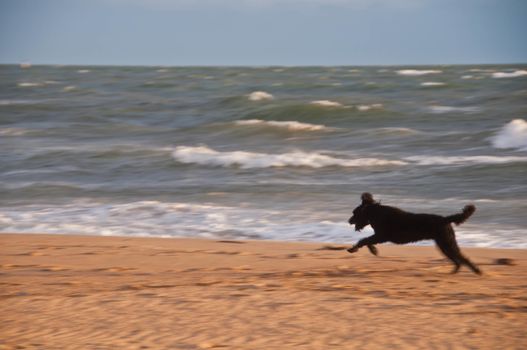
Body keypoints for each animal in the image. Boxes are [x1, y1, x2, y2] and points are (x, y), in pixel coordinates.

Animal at [348, 193, 480, 274]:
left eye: (354, 213)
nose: (349, 221)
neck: (375, 212)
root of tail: (445, 219)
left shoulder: (382, 236)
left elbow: (364, 240)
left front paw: (355, 249)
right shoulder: (379, 237)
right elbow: (366, 241)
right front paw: (373, 250)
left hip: (446, 243)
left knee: (461, 258)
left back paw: (476, 271)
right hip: (444, 244)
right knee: (457, 259)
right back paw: (456, 272)